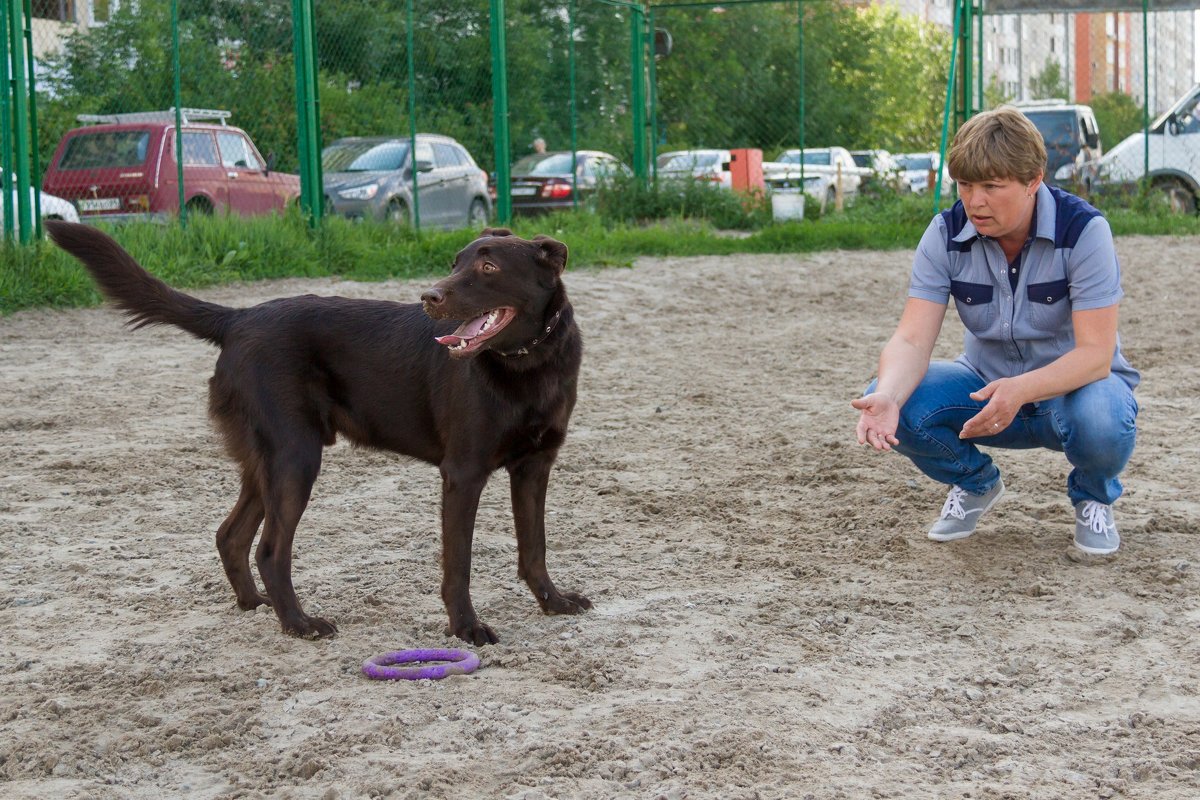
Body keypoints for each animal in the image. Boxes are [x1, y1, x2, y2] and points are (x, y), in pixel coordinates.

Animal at [46, 219, 590, 642]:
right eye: (455, 262)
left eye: (489, 268)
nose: (429, 296)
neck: (526, 363)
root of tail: (238, 318)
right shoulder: (463, 474)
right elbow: (459, 563)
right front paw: (466, 628)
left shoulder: (535, 468)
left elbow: (535, 548)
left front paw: (553, 601)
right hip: (295, 456)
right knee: (269, 550)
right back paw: (299, 624)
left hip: (267, 462)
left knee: (230, 535)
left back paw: (255, 605)